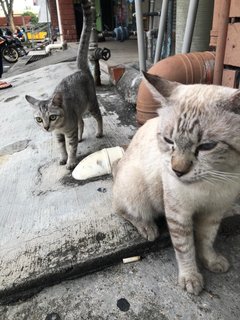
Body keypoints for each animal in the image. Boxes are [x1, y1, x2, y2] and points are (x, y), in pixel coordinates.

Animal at [25, 0, 102, 170]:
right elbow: (62, 147)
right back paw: (81, 137)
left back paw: (100, 132)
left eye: (52, 117)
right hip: (79, 111)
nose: (46, 127)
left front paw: (71, 162)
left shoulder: (70, 132)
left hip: (92, 104)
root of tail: (80, 69)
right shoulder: (58, 135)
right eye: (39, 119)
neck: (59, 127)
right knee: (81, 122)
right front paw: (63, 158)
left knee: (98, 117)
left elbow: (72, 147)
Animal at [113, 72, 240, 296]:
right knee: (121, 209)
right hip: (135, 187)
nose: (178, 171)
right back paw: (148, 228)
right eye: (168, 141)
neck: (216, 179)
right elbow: (185, 248)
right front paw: (190, 278)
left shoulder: (214, 212)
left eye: (207, 146)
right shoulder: (179, 213)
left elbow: (206, 240)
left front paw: (211, 261)